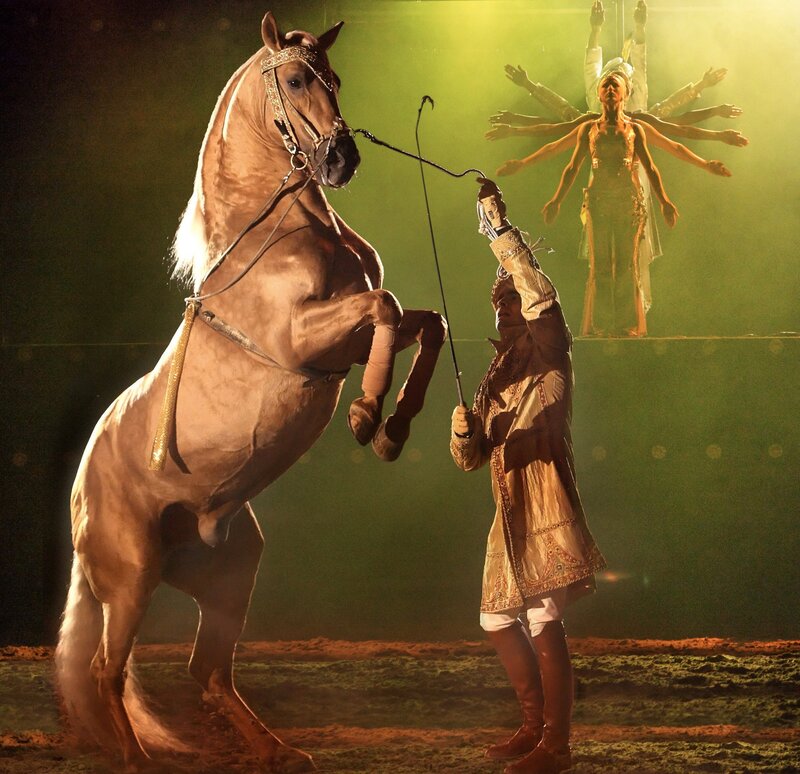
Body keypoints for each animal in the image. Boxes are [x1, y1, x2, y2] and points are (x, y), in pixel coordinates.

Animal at [55, 12, 446, 773]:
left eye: (335, 77)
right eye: (293, 78)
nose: (341, 159)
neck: (279, 231)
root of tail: (81, 495)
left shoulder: (347, 336)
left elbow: (423, 321)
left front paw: (394, 425)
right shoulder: (305, 337)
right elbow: (386, 307)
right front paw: (367, 414)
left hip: (229, 572)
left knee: (206, 672)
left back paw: (280, 751)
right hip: (131, 578)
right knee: (106, 672)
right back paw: (141, 760)